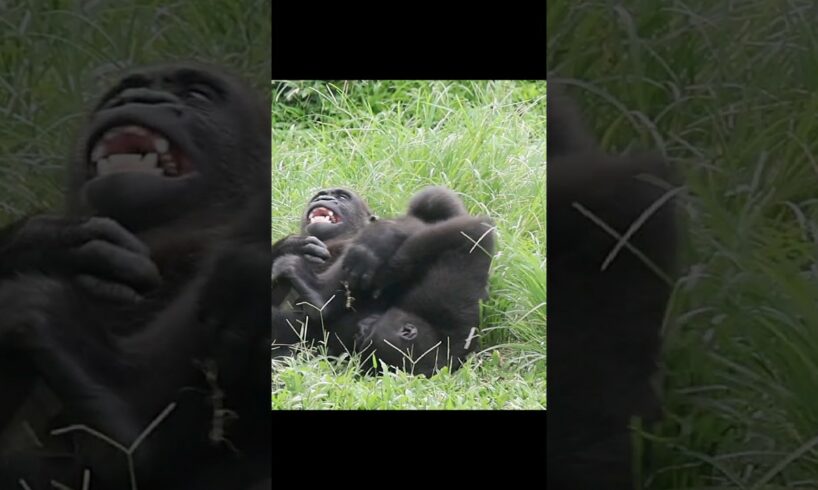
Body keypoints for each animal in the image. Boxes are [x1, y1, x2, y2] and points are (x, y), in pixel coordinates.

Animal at [270, 187, 494, 376]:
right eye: (321, 195)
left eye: (342, 197)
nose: (325, 198)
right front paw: (288, 246)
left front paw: (380, 237)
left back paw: (318, 297)